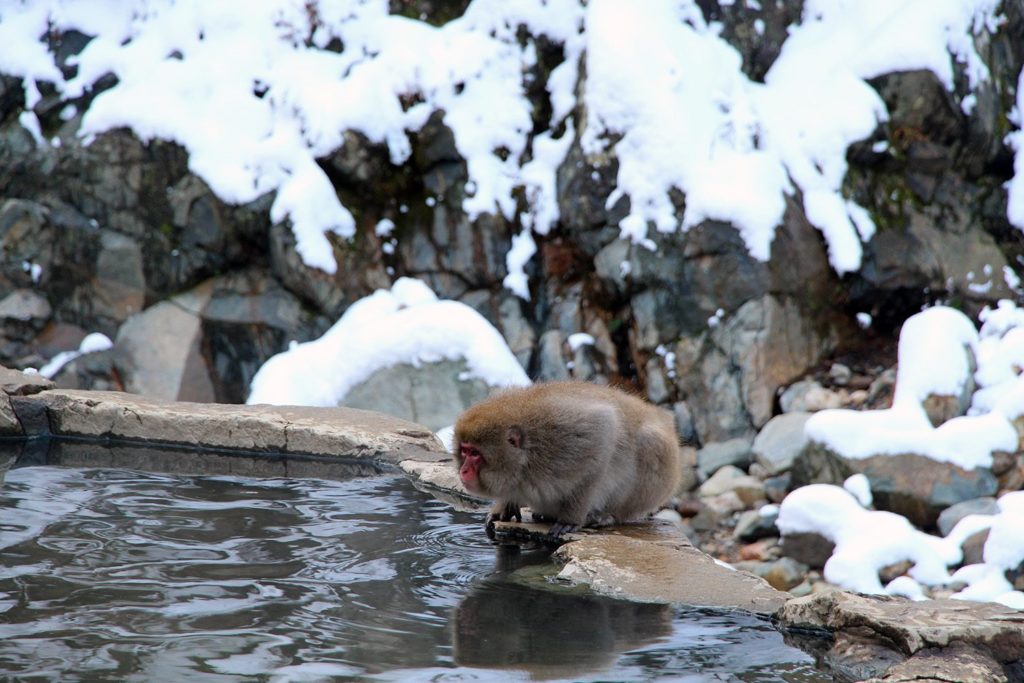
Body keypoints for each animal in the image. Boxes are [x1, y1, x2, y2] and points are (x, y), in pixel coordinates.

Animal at [454, 382, 679, 536]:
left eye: (475, 454)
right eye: (464, 451)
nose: (463, 471)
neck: (528, 458)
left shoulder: (565, 437)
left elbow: (604, 432)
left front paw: (571, 518)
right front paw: (504, 506)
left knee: (649, 443)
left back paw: (610, 515)